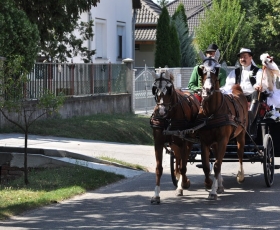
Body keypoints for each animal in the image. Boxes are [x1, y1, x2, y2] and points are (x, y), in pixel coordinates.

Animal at [150, 69, 200, 204]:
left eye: (169, 89)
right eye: (155, 89)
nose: (161, 111)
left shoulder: (183, 142)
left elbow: (183, 165)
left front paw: (180, 186)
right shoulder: (158, 142)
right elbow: (159, 168)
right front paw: (156, 195)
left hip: (188, 141)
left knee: (184, 160)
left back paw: (182, 181)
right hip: (174, 143)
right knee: (178, 158)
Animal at [198, 51, 248, 199]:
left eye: (217, 69)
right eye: (202, 69)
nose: (208, 89)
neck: (212, 112)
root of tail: (237, 89)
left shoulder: (223, 140)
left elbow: (217, 165)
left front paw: (213, 191)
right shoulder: (205, 141)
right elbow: (206, 165)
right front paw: (209, 184)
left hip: (241, 134)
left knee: (240, 153)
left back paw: (240, 176)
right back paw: (219, 184)